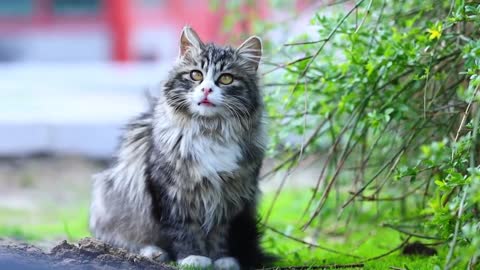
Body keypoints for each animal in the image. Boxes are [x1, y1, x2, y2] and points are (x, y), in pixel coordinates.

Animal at [90, 25, 270, 270]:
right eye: (196, 75)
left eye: (226, 79)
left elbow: (219, 234)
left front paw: (222, 260)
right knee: (119, 241)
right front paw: (192, 258)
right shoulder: (171, 192)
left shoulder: (228, 198)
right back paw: (153, 252)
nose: (206, 90)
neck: (210, 131)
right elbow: (183, 229)